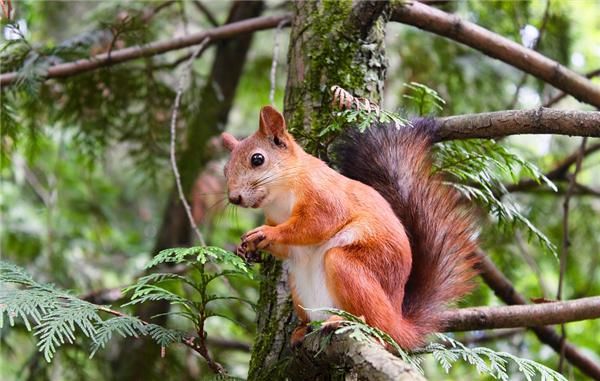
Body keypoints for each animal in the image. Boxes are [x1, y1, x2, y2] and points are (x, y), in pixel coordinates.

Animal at [220, 105, 478, 348]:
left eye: (257, 159)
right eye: (225, 169)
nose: (234, 198)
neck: (280, 197)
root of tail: (398, 323)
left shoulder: (325, 197)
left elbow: (315, 224)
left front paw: (268, 233)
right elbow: (287, 248)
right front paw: (247, 246)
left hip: (349, 268)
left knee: (374, 322)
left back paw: (345, 321)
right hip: (299, 287)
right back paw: (303, 329)